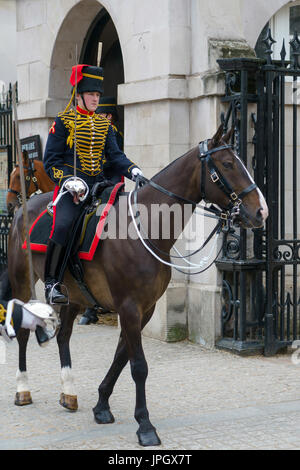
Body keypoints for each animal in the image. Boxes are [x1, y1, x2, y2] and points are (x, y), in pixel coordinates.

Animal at [7, 126, 268, 448]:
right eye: (229, 164)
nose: (261, 212)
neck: (145, 227)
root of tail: (22, 209)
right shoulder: (129, 307)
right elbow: (138, 366)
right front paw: (144, 425)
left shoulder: (145, 309)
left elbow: (122, 357)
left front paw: (102, 404)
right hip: (22, 281)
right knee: (22, 332)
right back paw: (22, 389)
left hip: (73, 294)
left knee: (64, 336)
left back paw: (68, 392)